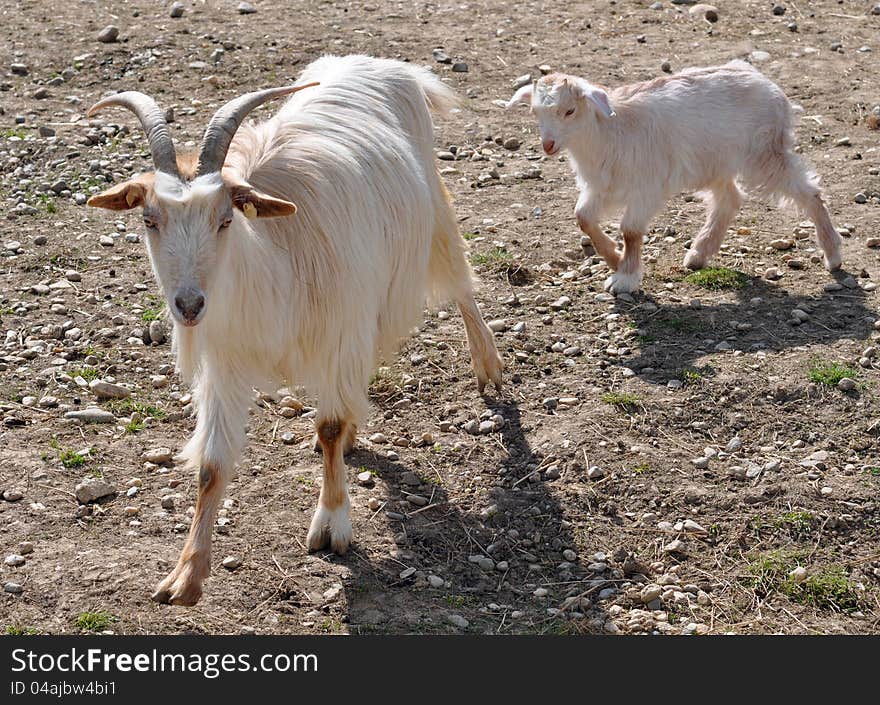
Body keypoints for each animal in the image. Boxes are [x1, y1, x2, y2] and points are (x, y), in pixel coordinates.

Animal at [90, 55, 506, 604]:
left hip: (434, 216)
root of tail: (384, 64)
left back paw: (488, 367)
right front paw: (186, 574)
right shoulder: (227, 361)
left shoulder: (339, 331)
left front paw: (332, 524)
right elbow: (212, 465)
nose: (189, 305)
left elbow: (326, 425)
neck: (274, 258)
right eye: (149, 219)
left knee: (460, 285)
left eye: (225, 219)